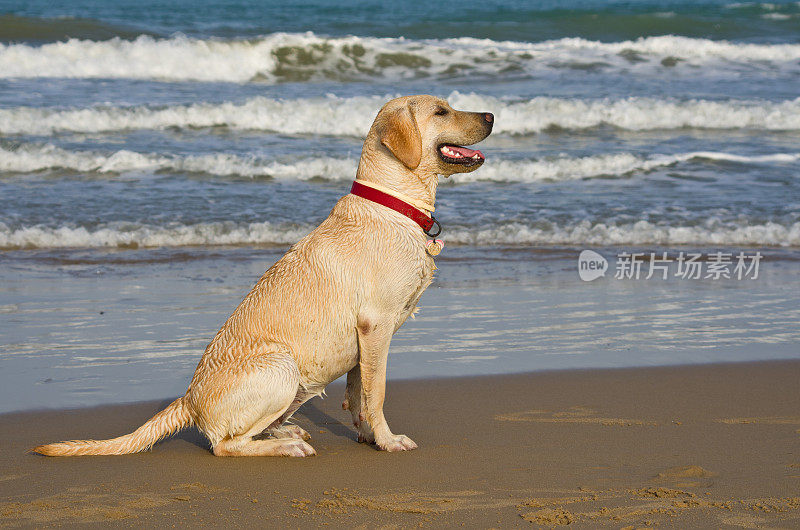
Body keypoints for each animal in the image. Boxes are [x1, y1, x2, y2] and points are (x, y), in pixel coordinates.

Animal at [36, 94, 494, 454]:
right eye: (441, 111)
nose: (491, 115)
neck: (394, 204)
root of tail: (189, 399)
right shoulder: (376, 324)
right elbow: (375, 392)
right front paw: (388, 440)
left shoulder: (365, 340)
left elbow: (357, 393)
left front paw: (367, 436)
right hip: (281, 367)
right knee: (225, 445)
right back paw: (284, 446)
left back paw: (284, 433)